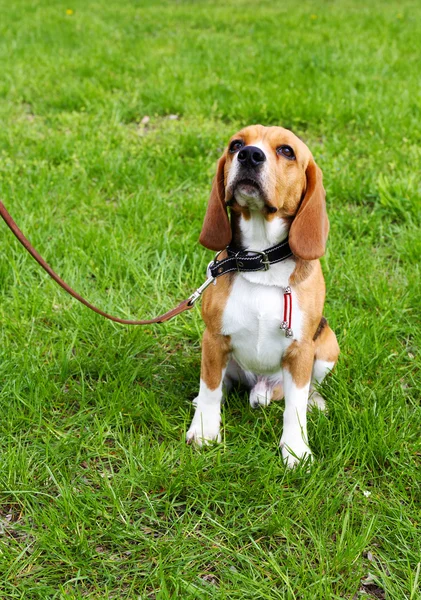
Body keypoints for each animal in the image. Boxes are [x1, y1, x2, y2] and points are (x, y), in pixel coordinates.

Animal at [185, 124, 340, 466]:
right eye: (235, 145)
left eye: (286, 151)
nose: (250, 155)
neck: (260, 258)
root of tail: (262, 385)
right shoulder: (213, 339)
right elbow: (211, 388)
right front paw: (204, 431)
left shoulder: (301, 350)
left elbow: (295, 407)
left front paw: (295, 450)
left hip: (327, 345)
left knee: (302, 391)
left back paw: (314, 402)